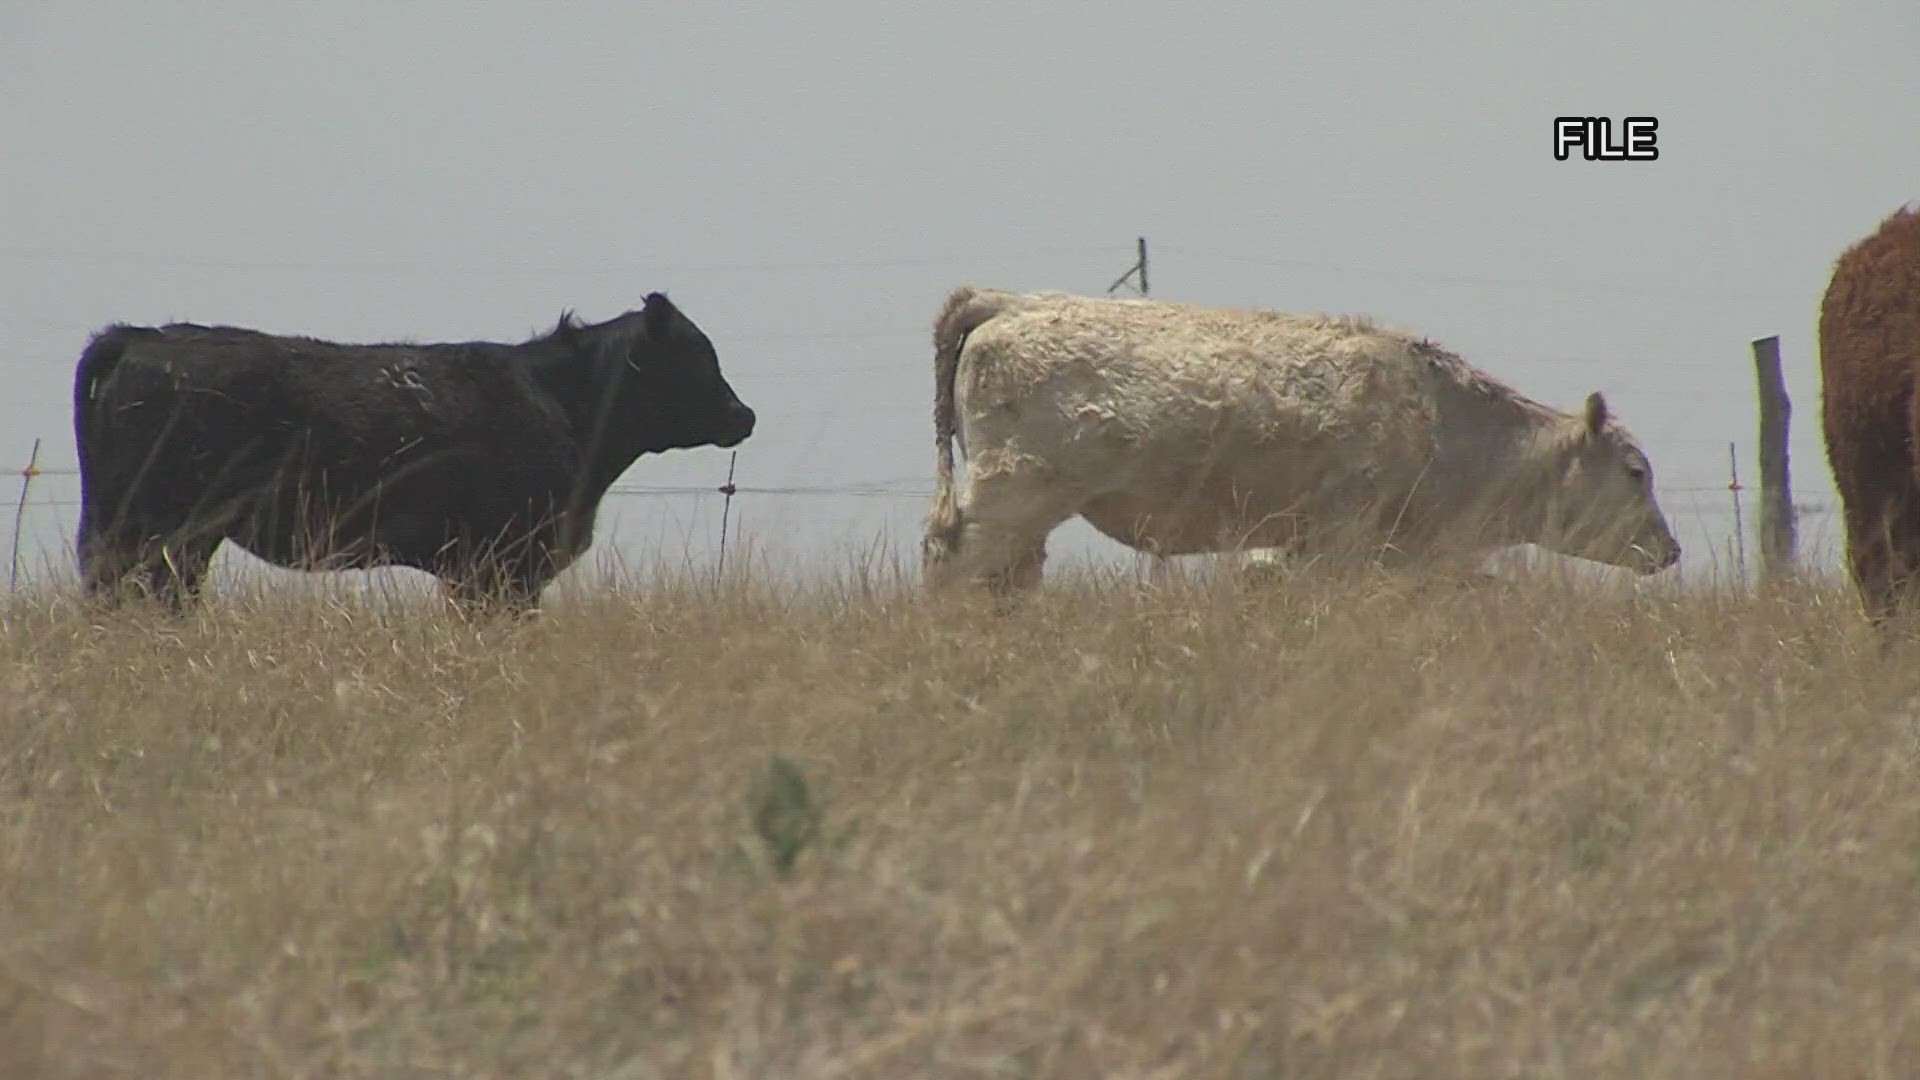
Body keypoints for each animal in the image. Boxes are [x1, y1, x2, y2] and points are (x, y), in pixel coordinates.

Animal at [913, 282, 1681, 591]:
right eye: (1635, 471)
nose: (1670, 551)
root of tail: (1013, 302)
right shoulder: (1341, 539)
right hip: (1014, 493)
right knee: (956, 562)